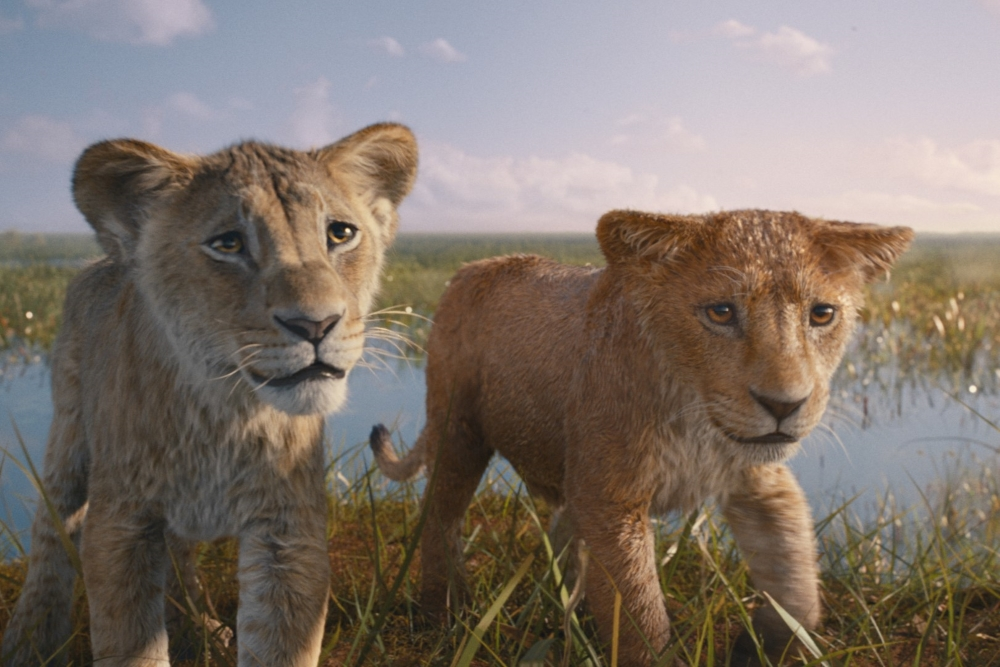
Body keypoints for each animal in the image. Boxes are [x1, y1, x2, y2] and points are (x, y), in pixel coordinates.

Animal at [2, 123, 418, 667]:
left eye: (340, 233)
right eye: (229, 243)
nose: (316, 325)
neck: (226, 412)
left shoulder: (288, 532)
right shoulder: (121, 524)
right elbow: (129, 642)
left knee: (178, 553)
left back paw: (197, 627)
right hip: (68, 433)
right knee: (52, 532)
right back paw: (29, 641)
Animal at [370, 209, 913, 666]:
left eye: (822, 314)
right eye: (720, 312)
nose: (784, 406)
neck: (696, 419)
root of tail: (472, 267)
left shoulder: (758, 482)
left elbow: (797, 579)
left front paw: (766, 644)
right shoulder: (612, 499)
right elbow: (640, 614)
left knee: (564, 536)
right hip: (458, 430)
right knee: (440, 518)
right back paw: (444, 615)